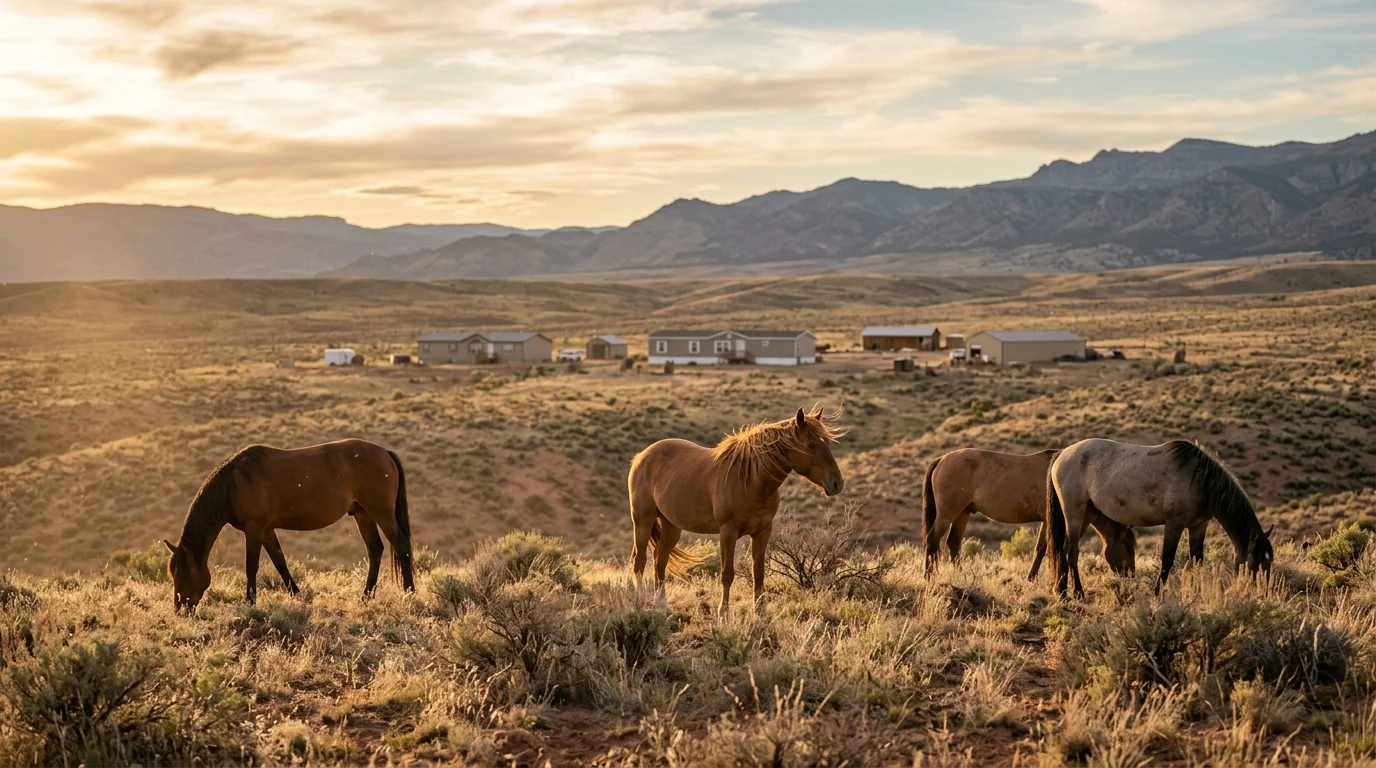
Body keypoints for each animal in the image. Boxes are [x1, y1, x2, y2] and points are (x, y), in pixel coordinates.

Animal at [164, 438, 414, 612]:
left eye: (185, 574)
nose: (180, 609)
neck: (235, 485)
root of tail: (385, 453)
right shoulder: (267, 531)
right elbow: (280, 562)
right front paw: (296, 594)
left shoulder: (254, 530)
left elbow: (251, 566)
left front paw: (250, 601)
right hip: (363, 514)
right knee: (375, 550)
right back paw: (366, 596)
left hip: (381, 514)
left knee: (401, 547)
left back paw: (409, 593)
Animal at [628, 406, 845, 615]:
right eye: (811, 445)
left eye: (827, 442)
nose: (837, 484)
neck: (750, 480)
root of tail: (641, 456)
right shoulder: (728, 532)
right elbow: (727, 573)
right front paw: (723, 613)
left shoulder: (763, 531)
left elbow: (758, 572)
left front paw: (760, 611)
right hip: (643, 520)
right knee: (639, 560)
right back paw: (638, 602)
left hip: (671, 526)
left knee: (660, 561)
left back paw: (662, 606)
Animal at [921, 448, 1137, 579]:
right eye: (1128, 547)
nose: (1131, 575)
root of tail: (941, 459)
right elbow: (1045, 548)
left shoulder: (1046, 521)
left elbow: (1040, 549)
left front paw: (1031, 578)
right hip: (949, 512)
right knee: (932, 539)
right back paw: (929, 576)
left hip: (962, 512)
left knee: (953, 543)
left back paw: (961, 576)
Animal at [1046, 438, 1273, 598]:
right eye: (1256, 562)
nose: (1263, 594)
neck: (1201, 481)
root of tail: (1062, 453)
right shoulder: (1174, 524)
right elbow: (1167, 560)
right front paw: (1157, 593)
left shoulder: (1199, 525)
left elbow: (1197, 560)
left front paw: (1196, 591)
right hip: (1074, 512)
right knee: (1071, 551)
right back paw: (1077, 593)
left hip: (1086, 513)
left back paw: (1064, 592)